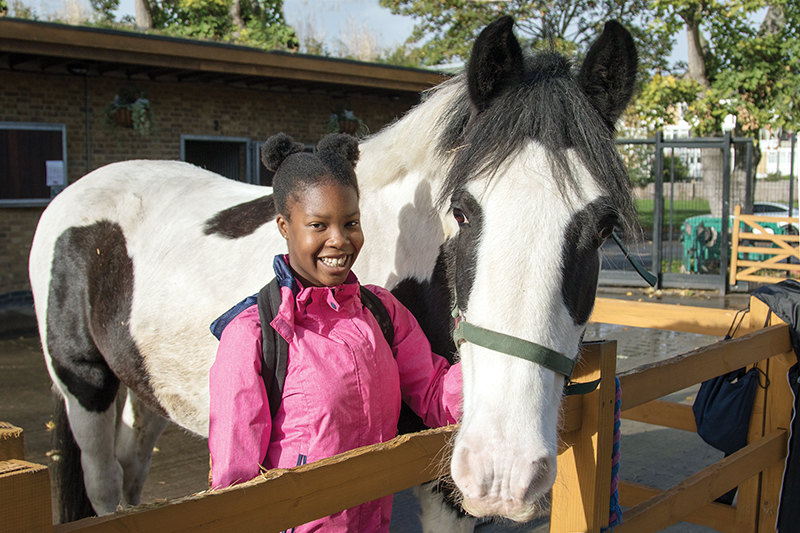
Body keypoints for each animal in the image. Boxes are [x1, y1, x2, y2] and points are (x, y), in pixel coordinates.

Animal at [28, 15, 638, 530]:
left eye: (604, 226)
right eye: (461, 211)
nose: (503, 469)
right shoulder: (440, 488)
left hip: (146, 386)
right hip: (84, 385)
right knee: (105, 483)